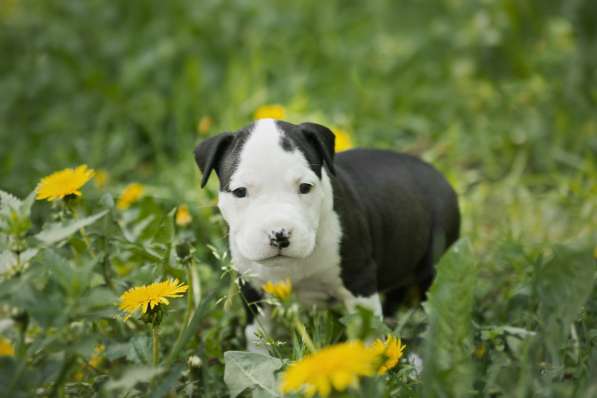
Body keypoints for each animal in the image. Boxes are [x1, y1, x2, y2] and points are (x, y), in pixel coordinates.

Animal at [193, 119, 458, 352]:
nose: (279, 234)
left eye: (305, 187)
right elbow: (257, 336)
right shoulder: (252, 290)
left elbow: (368, 334)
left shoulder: (359, 282)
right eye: (240, 192)